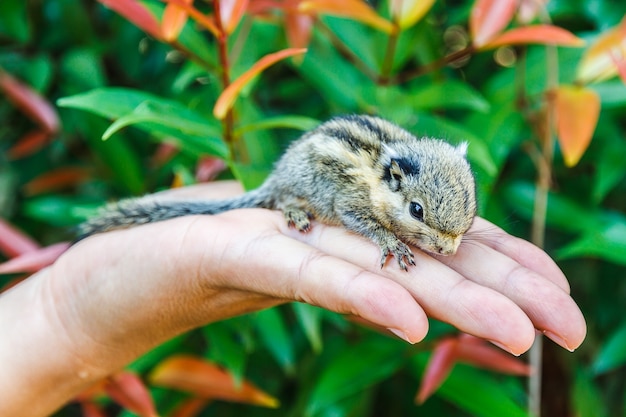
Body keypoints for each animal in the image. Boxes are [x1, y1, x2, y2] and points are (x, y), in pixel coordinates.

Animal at [80, 114, 476, 270]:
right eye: (416, 210)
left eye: (469, 204)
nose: (449, 250)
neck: (379, 180)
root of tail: (277, 176)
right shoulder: (349, 202)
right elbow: (365, 223)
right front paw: (392, 243)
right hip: (303, 187)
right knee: (284, 202)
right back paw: (295, 212)